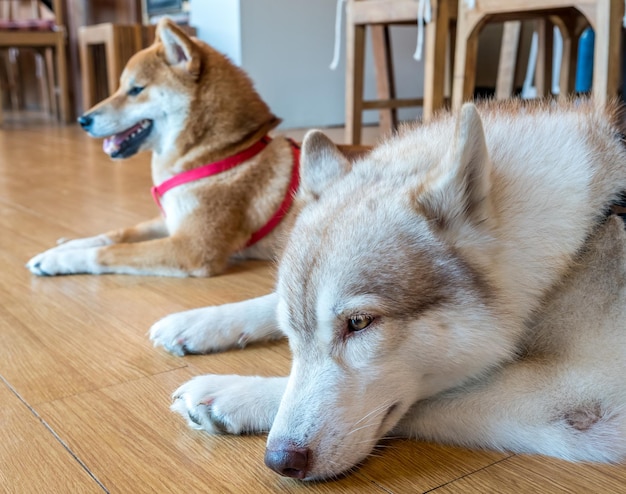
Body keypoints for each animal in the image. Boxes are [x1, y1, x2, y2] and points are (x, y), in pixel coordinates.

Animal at [26, 19, 364, 278]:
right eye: (121, 87)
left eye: (136, 90)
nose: (83, 120)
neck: (224, 153)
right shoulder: (172, 220)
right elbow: (118, 233)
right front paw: (64, 245)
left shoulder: (190, 246)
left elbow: (113, 250)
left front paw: (59, 260)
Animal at [154, 98, 624, 480]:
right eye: (289, 333)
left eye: (360, 323)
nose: (280, 462)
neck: (578, 242)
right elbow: (265, 305)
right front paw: (198, 322)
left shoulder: (583, 399)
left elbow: (432, 397)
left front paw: (233, 394)